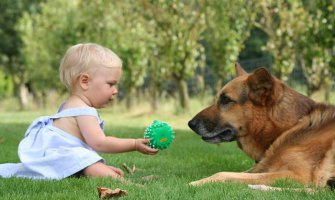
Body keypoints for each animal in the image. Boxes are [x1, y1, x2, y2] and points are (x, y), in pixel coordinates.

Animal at [188, 63, 335, 189]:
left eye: (226, 100)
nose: (190, 124)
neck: (289, 127)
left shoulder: (296, 176)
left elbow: (223, 173)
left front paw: (195, 183)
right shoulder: (261, 168)